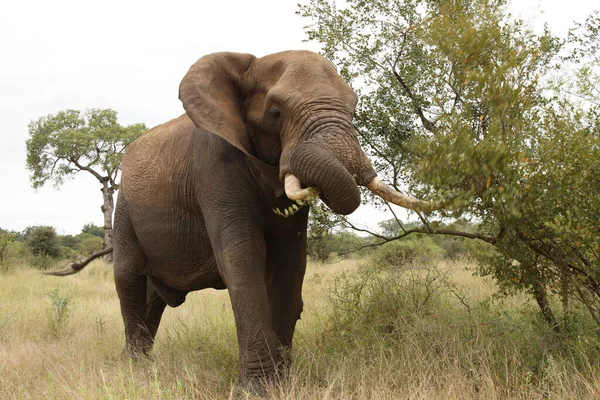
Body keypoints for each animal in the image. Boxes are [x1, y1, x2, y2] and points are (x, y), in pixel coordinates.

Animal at [110, 49, 434, 394]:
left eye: (354, 108)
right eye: (276, 112)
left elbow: (289, 263)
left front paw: (283, 383)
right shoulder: (214, 165)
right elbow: (242, 259)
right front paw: (258, 390)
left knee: (154, 296)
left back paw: (142, 363)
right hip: (124, 207)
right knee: (128, 277)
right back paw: (134, 370)